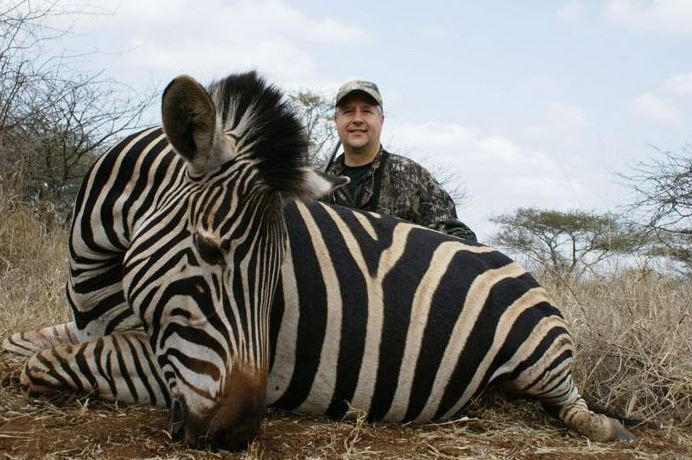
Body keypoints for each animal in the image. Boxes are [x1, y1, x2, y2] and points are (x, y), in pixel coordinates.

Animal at [3, 71, 635, 450]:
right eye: (208, 250)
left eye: (276, 278)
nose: (237, 431)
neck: (99, 269)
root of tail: (519, 266)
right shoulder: (96, 327)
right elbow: (18, 344)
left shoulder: (160, 363)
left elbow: (40, 364)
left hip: (541, 354)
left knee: (571, 401)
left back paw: (603, 425)